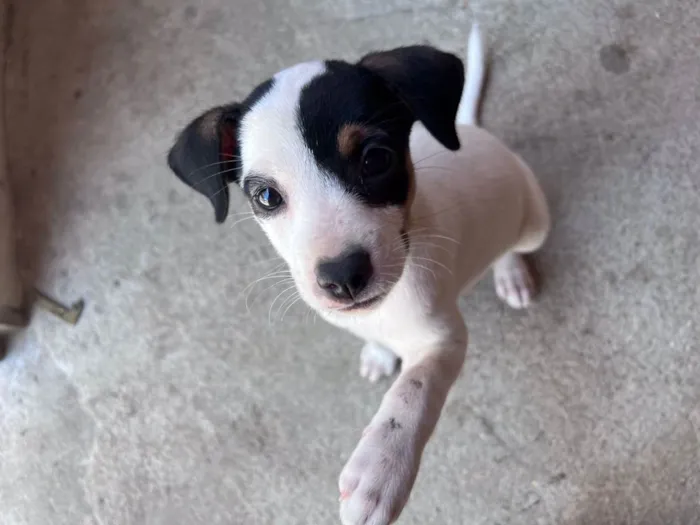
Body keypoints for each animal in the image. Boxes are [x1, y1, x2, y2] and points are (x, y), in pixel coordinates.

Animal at [167, 23, 548, 524]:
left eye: (375, 159)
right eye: (266, 196)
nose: (343, 277)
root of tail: (473, 130)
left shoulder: (443, 339)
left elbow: (412, 393)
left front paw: (379, 470)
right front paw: (379, 353)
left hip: (534, 221)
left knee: (513, 247)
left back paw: (511, 273)